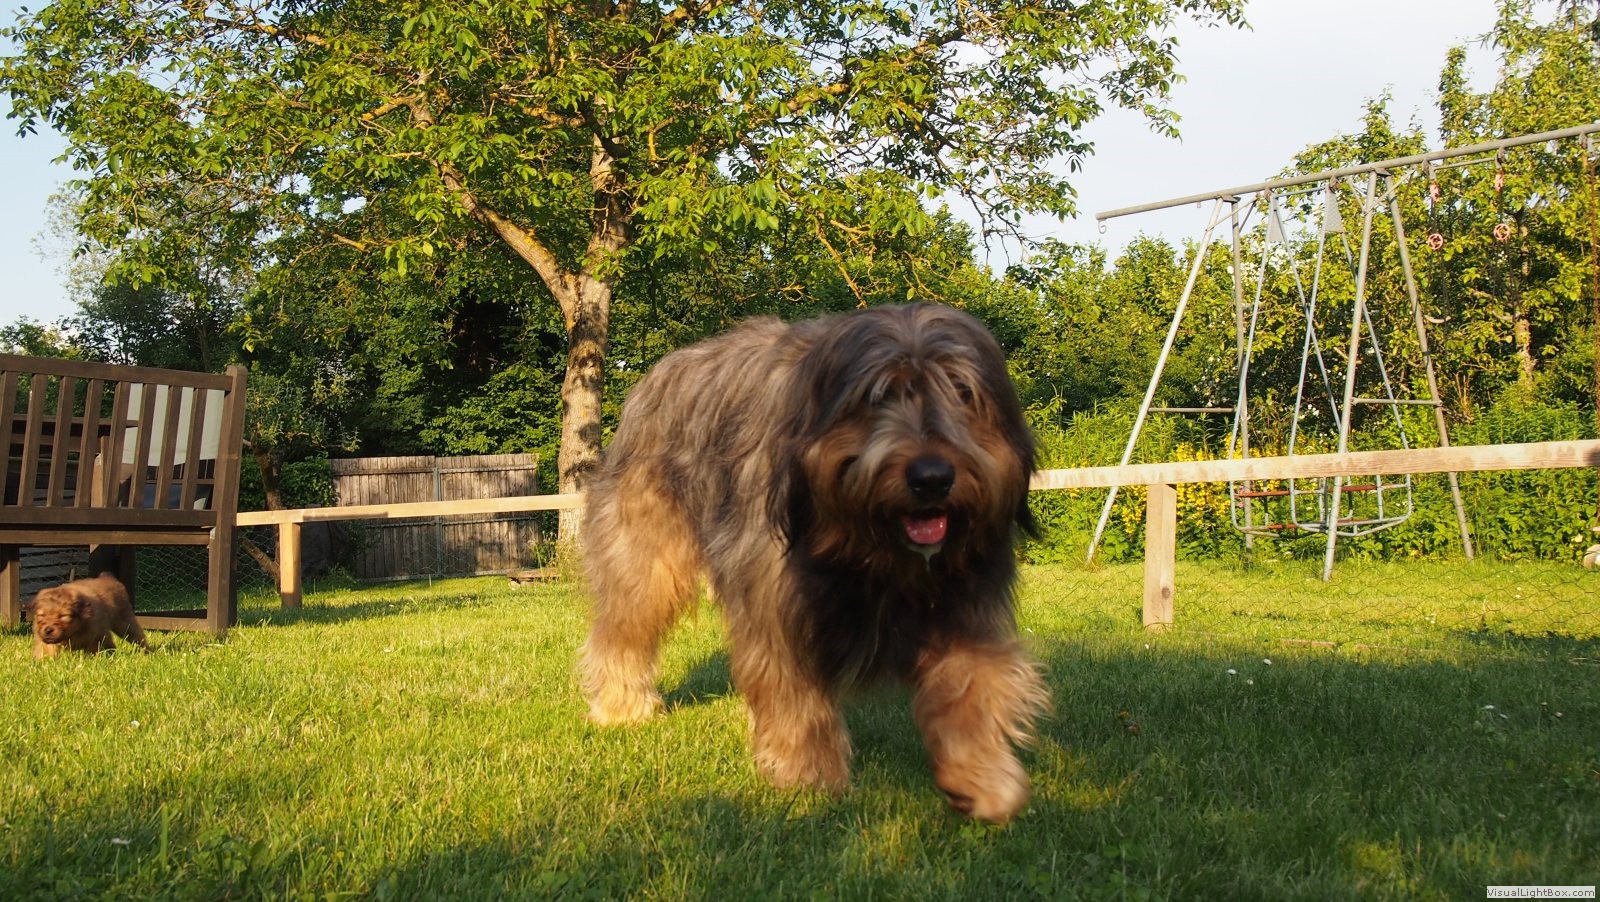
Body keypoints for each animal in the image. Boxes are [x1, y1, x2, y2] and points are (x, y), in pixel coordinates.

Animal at [580, 302, 1048, 823]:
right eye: (875, 397)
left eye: (963, 392)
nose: (932, 478)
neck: (874, 544)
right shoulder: (776, 595)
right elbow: (791, 689)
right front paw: (808, 776)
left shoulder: (965, 598)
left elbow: (971, 682)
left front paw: (981, 777)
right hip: (646, 561)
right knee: (625, 629)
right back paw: (623, 707)